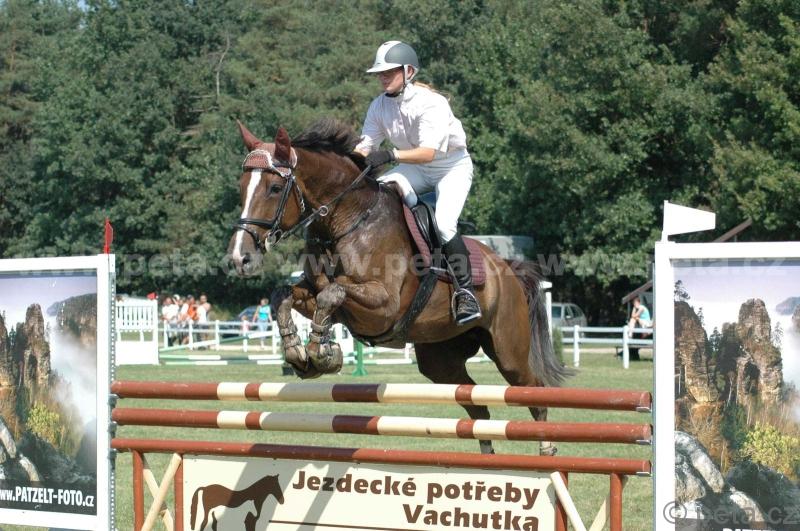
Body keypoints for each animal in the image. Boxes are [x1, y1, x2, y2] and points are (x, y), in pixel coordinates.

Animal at [227, 118, 572, 454]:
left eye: (274, 188)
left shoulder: (384, 307)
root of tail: (507, 268)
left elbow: (332, 293)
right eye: (241, 188)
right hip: (440, 360)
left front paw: (320, 353)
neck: (345, 222)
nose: (240, 258)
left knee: (533, 393)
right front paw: (298, 352)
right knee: (477, 407)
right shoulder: (321, 297)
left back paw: (546, 451)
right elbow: (285, 296)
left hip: (508, 351)